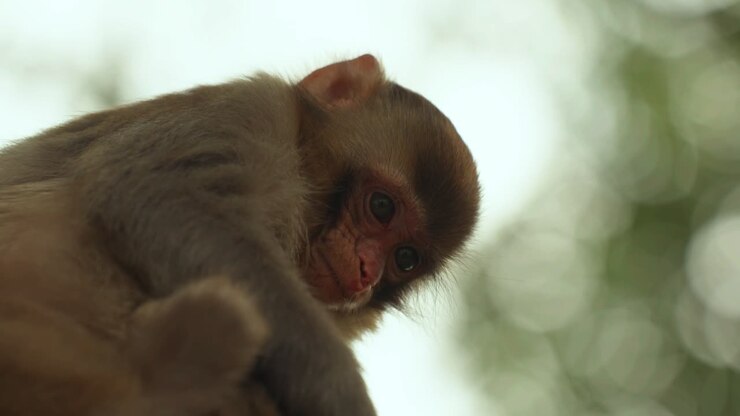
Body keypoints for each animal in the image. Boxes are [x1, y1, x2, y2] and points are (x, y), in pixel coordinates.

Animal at [0, 54, 480, 415]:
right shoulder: (246, 111)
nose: (365, 272)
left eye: (405, 259)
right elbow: (156, 191)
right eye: (381, 207)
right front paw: (341, 394)